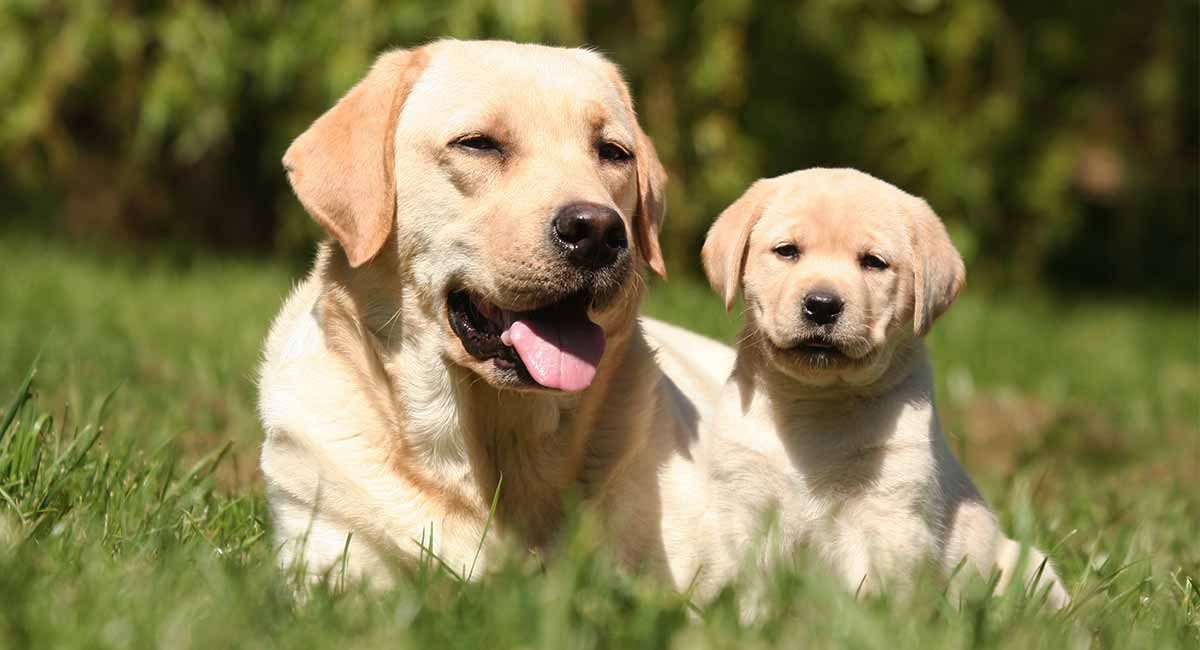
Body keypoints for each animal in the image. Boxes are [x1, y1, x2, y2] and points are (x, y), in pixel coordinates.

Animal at [700, 169, 1075, 611]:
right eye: (787, 251)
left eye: (873, 262)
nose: (822, 304)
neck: (816, 402)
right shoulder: (745, 502)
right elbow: (750, 588)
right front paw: (748, 617)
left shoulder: (890, 511)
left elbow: (877, 595)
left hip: (1028, 567)